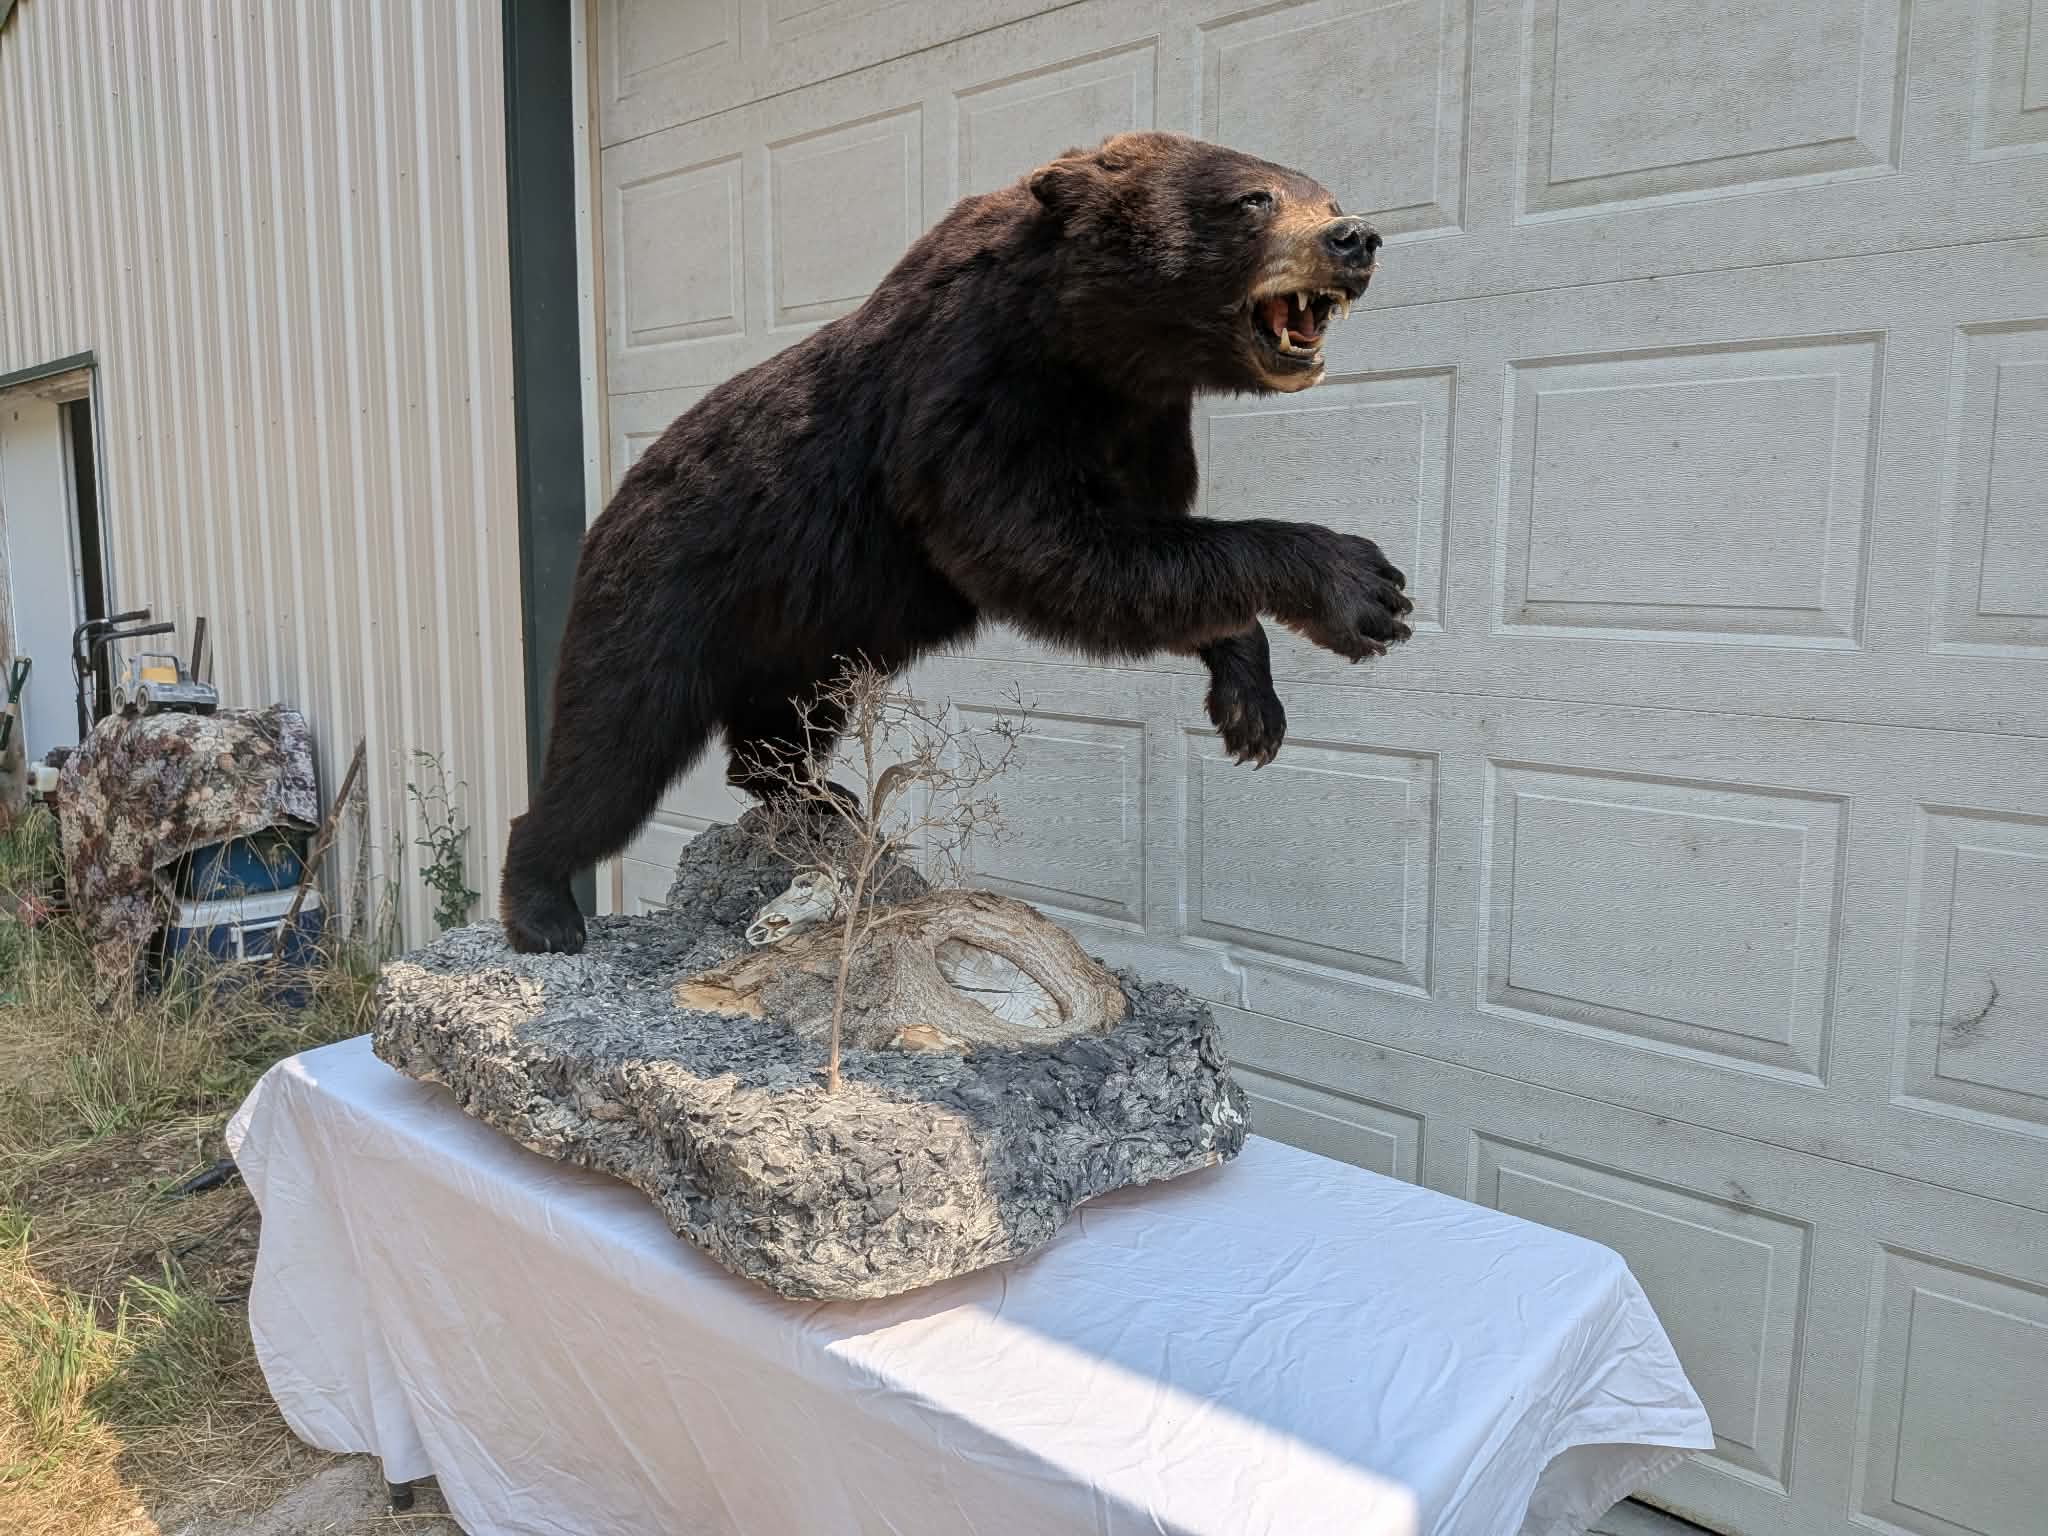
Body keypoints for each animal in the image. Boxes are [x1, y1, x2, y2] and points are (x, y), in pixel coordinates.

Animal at [500, 131, 1412, 955]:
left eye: (1325, 193)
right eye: (1255, 198)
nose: (1355, 238)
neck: (1098, 349)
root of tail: (612, 507)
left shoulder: (1147, 424)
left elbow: (1154, 556)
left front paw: (1251, 706)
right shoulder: (971, 388)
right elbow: (1054, 549)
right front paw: (1363, 587)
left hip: (801, 637)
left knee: (780, 726)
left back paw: (816, 796)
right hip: (667, 592)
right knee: (612, 745)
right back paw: (543, 905)